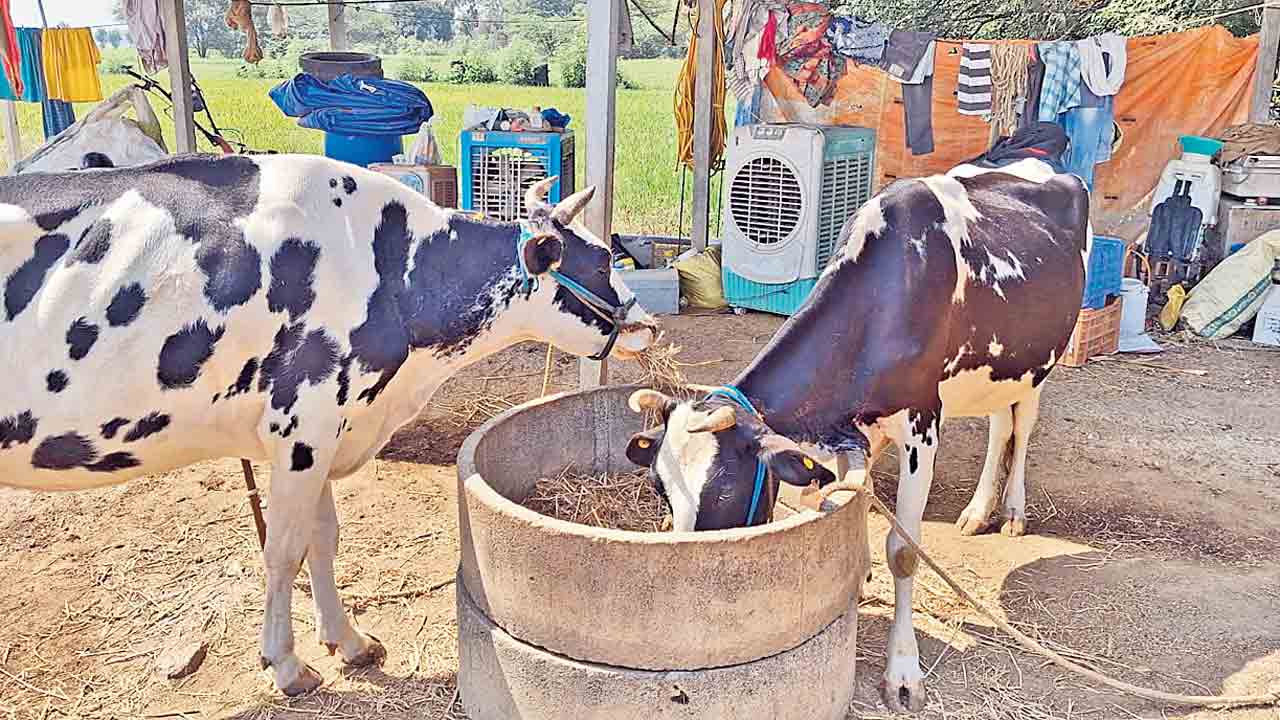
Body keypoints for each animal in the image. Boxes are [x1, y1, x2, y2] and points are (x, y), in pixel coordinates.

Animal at [0, 154, 658, 695]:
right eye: (602, 260)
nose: (648, 325)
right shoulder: (303, 425)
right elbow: (284, 549)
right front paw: (286, 666)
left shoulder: (325, 430)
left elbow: (323, 539)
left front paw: (350, 642)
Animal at [623, 158, 1088, 712]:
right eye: (660, 490)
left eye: (726, 490)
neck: (882, 299)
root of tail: (1038, 163)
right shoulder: (854, 428)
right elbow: (852, 494)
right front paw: (859, 572)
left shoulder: (922, 424)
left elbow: (904, 551)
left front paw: (903, 672)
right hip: (998, 367)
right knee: (999, 420)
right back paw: (978, 512)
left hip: (1041, 361)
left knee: (1021, 421)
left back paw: (1013, 510)